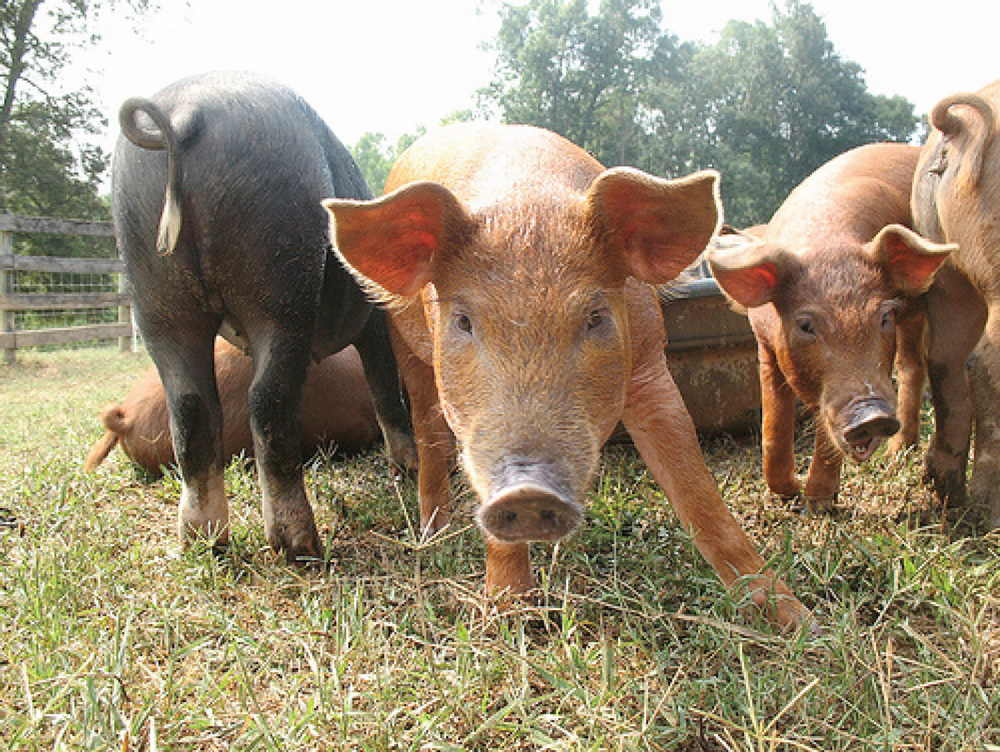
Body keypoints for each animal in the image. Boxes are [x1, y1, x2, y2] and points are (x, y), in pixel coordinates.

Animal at [324, 123, 808, 628]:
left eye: (595, 317)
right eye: (463, 321)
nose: (526, 490)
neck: (528, 200)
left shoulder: (650, 364)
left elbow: (698, 492)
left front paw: (798, 620)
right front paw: (510, 611)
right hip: (405, 347)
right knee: (429, 433)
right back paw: (431, 534)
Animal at [704, 145, 952, 512]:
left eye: (883, 316)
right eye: (805, 324)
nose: (873, 416)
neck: (827, 240)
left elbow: (823, 429)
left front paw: (818, 503)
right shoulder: (764, 344)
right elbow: (773, 425)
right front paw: (788, 492)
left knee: (912, 366)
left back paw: (894, 456)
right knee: (912, 364)